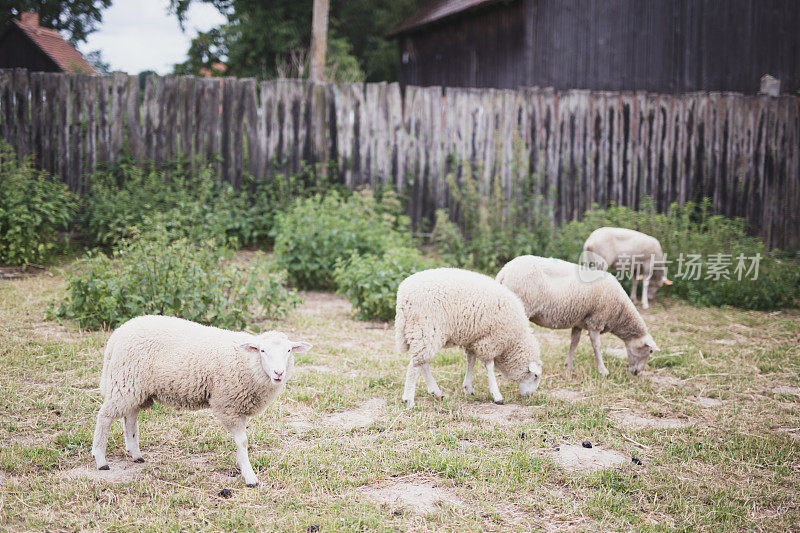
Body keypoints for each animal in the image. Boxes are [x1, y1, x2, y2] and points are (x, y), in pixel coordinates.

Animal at [90, 316, 310, 486]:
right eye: (262, 351)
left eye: (289, 351)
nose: (279, 373)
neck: (247, 363)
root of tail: (117, 335)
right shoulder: (227, 404)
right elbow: (243, 441)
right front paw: (250, 477)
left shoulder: (239, 406)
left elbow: (242, 442)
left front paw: (241, 463)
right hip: (124, 381)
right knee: (105, 416)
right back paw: (100, 459)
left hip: (136, 388)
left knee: (130, 416)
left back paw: (136, 454)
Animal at [396, 268, 544, 406]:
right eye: (535, 375)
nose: (530, 396)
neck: (513, 341)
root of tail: (403, 295)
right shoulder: (491, 340)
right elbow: (489, 366)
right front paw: (496, 395)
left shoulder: (474, 339)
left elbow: (471, 361)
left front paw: (468, 388)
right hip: (426, 329)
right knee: (414, 366)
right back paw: (409, 399)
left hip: (422, 333)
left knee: (422, 362)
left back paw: (436, 392)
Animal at [496, 256, 660, 376]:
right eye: (650, 351)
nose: (636, 373)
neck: (619, 312)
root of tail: (504, 271)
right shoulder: (596, 320)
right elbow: (597, 346)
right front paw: (603, 370)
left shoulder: (579, 322)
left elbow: (574, 342)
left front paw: (568, 366)